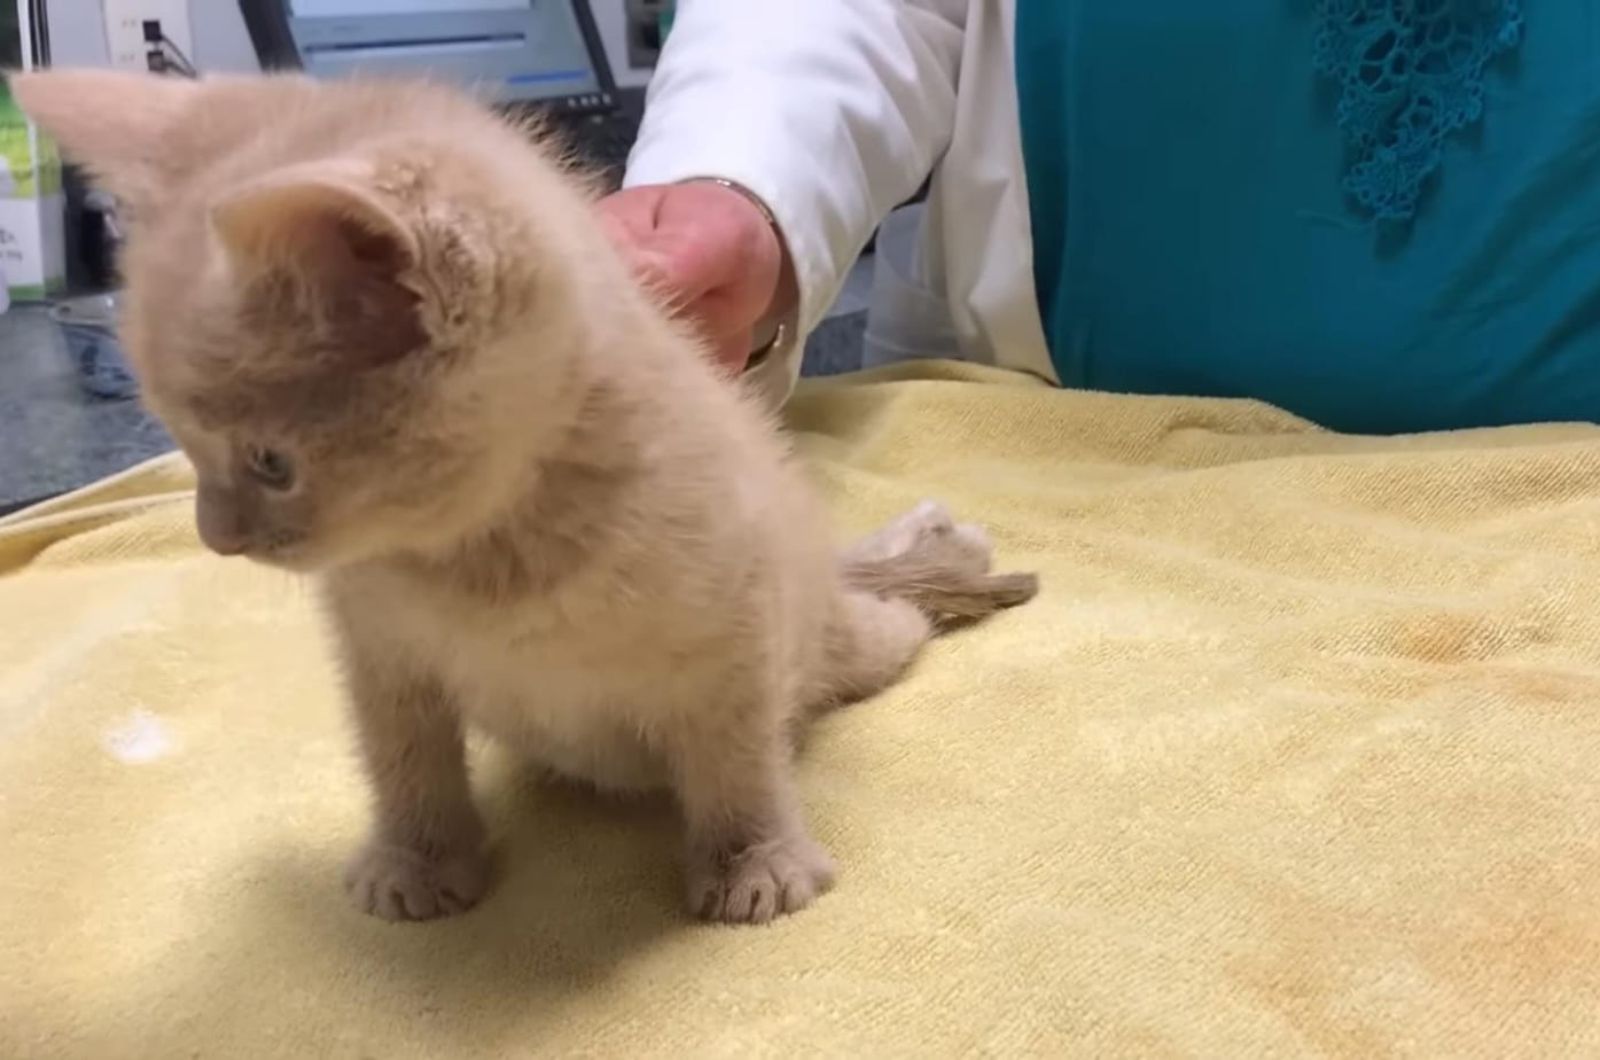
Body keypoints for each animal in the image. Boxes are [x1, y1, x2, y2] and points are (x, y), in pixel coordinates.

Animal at [18, 70, 1043, 928]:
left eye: (272, 463)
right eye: (185, 448)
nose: (215, 537)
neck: (491, 553)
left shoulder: (735, 634)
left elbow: (737, 758)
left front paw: (754, 862)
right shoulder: (380, 655)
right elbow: (402, 759)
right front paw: (417, 860)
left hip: (824, 626)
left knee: (880, 630)